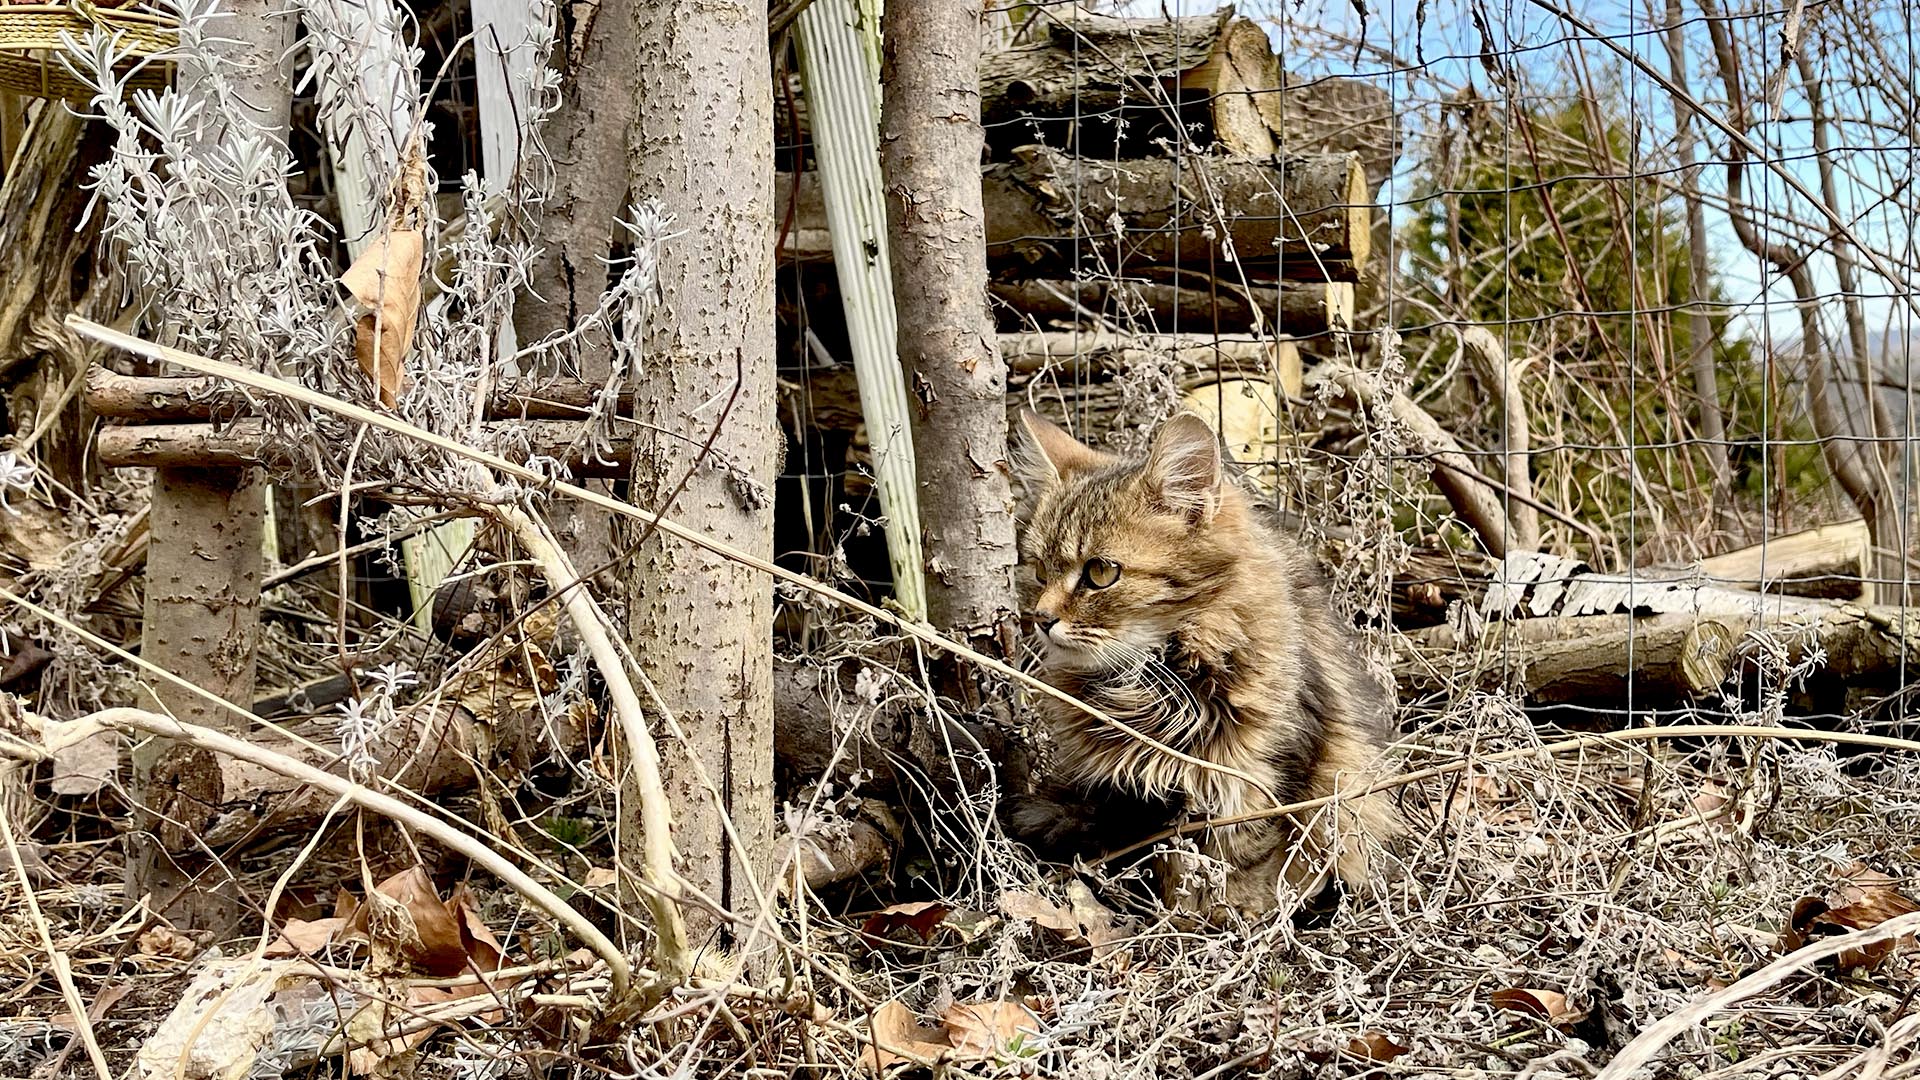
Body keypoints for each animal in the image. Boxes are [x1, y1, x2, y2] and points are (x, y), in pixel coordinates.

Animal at [1006, 405, 1397, 907]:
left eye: (1100, 572)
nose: (1041, 618)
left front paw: (1223, 918)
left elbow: (1235, 868)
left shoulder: (1255, 778)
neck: (1153, 680)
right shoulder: (1136, 795)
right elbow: (1174, 866)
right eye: (1039, 570)